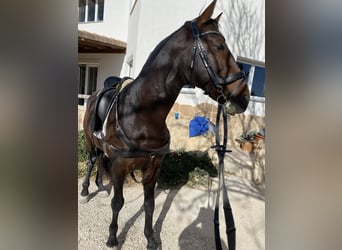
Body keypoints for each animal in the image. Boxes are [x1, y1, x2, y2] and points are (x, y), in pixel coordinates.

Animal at [81, 0, 251, 248]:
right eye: (219, 46)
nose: (244, 96)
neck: (142, 116)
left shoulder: (154, 168)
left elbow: (150, 205)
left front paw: (150, 237)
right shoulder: (120, 167)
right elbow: (118, 203)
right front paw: (112, 237)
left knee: (101, 161)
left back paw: (101, 187)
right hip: (89, 141)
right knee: (92, 160)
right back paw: (86, 191)